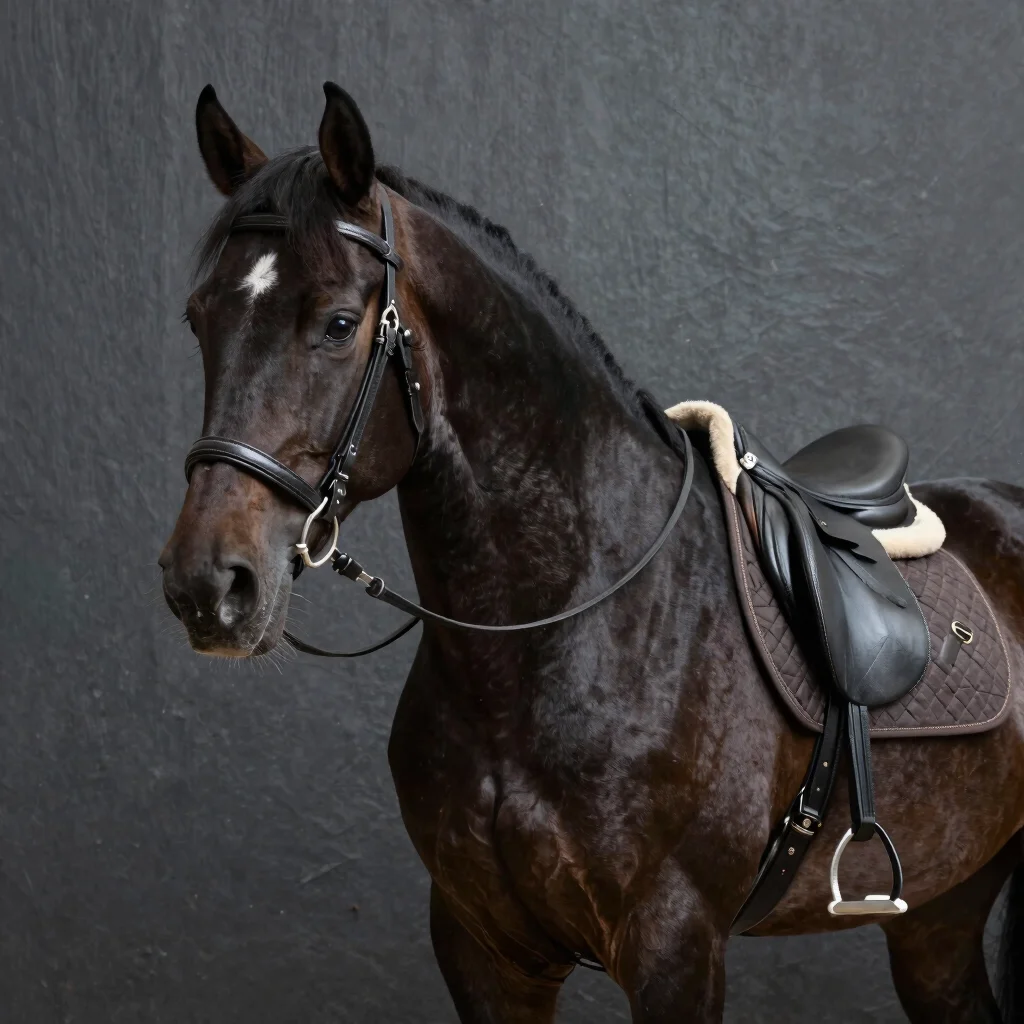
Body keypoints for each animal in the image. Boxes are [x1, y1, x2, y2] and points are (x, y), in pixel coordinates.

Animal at [159, 83, 1024, 1022]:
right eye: (198, 319)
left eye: (339, 323)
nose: (208, 583)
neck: (570, 628)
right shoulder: (484, 951)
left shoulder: (675, 947)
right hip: (940, 914)